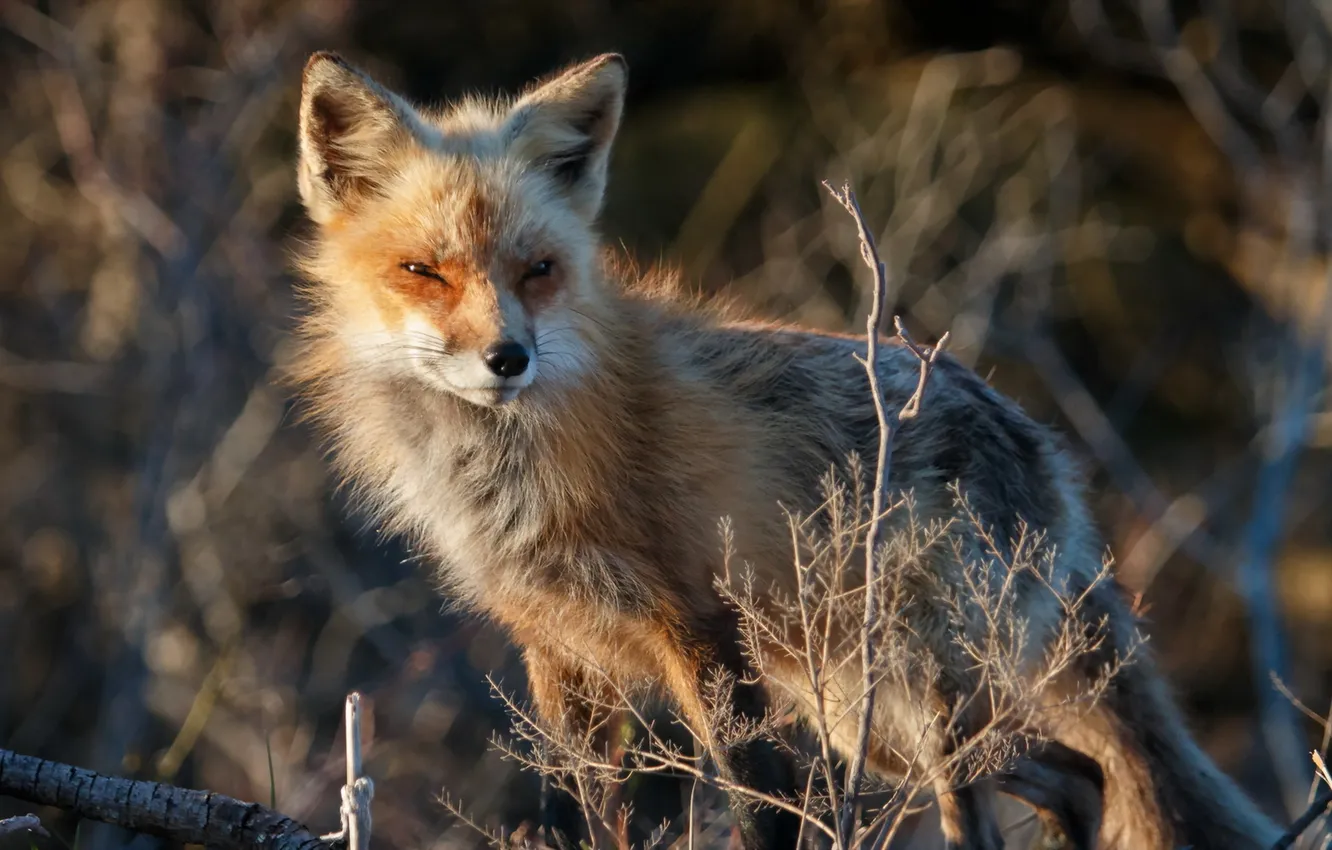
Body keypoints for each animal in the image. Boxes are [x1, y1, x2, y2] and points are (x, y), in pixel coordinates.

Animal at [288, 50, 1284, 850]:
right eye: (424, 271)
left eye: (539, 270)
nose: (508, 358)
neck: (512, 475)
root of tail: (1055, 463)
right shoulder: (561, 653)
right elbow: (582, 815)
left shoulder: (702, 631)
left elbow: (763, 814)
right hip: (866, 720)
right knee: (1082, 779)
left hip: (923, 705)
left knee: (1053, 788)